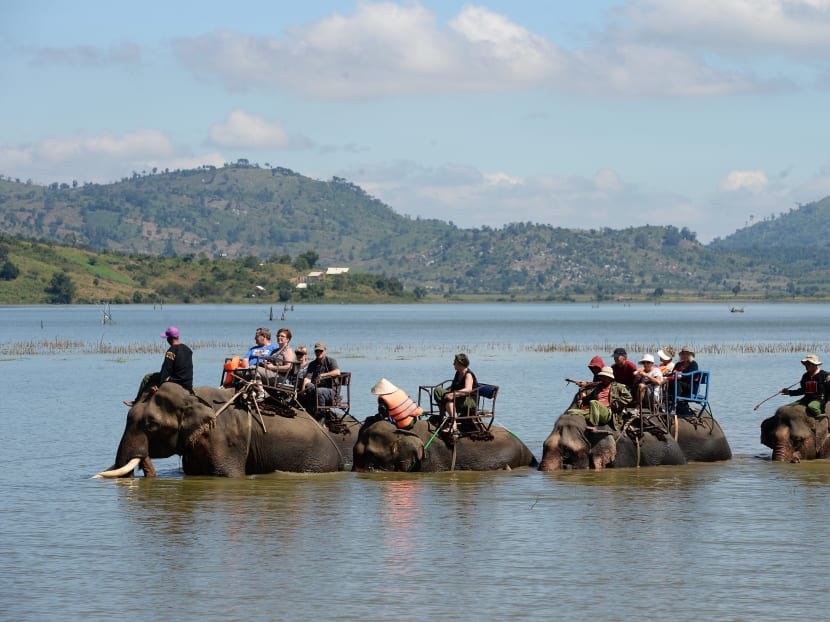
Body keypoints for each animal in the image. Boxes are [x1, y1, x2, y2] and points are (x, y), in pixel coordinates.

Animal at [94, 383, 347, 478]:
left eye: (151, 425)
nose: (144, 456)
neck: (192, 397)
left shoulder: (225, 441)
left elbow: (228, 475)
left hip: (316, 462)